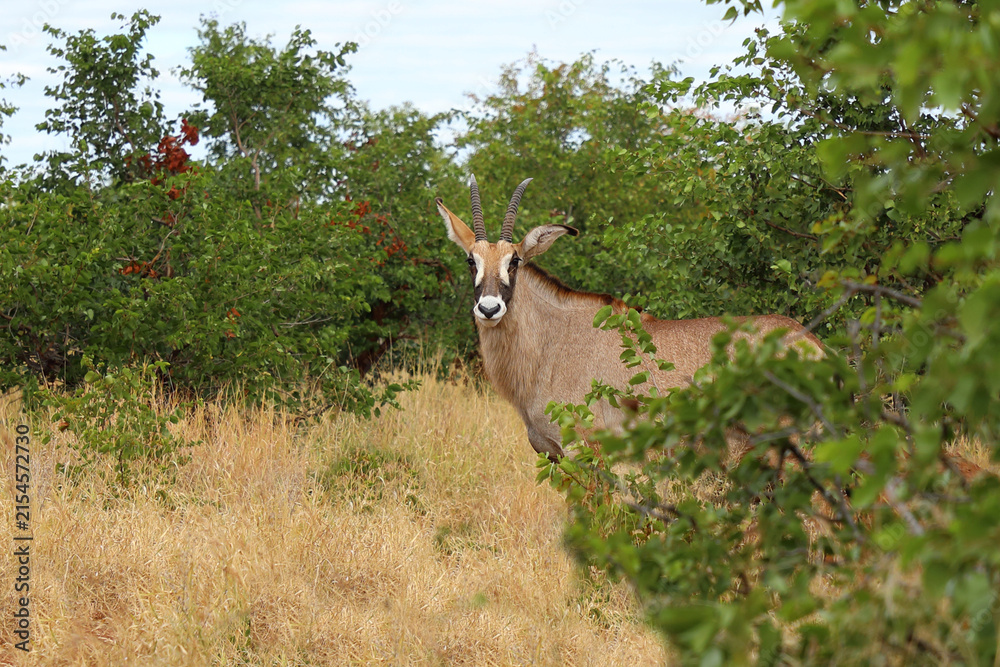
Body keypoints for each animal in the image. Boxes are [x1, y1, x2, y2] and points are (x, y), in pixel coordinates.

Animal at [436, 176, 822, 460]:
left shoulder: (585, 447)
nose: (489, 309)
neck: (551, 343)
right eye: (471, 260)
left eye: (514, 261)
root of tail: (812, 344)